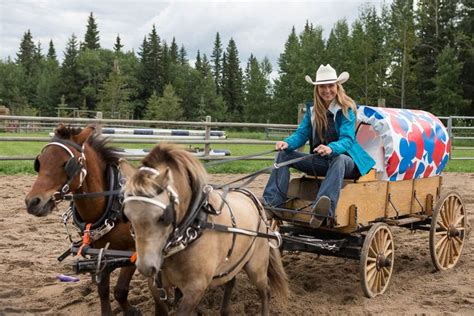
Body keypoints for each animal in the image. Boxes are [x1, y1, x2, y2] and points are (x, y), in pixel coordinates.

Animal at [24, 124, 160, 314]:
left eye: (67, 164)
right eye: (40, 162)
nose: (32, 202)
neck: (114, 204)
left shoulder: (135, 251)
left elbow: (120, 290)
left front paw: (132, 311)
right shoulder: (100, 253)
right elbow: (103, 290)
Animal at [120, 144, 286, 316]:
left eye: (162, 217)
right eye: (127, 215)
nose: (145, 267)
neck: (191, 232)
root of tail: (255, 201)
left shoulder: (195, 289)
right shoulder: (156, 287)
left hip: (256, 266)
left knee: (264, 291)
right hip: (232, 263)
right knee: (230, 282)